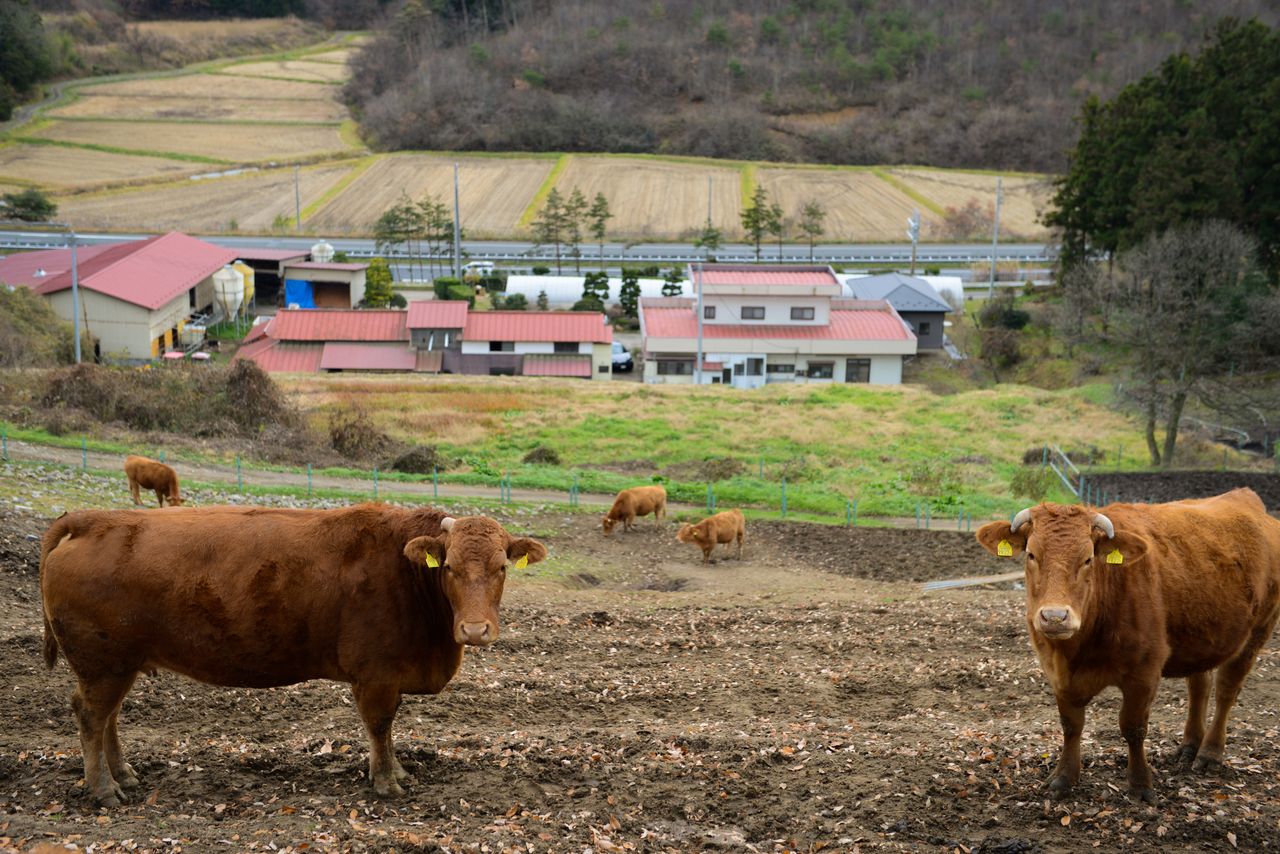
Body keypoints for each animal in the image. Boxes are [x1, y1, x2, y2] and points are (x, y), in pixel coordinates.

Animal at [37, 504, 547, 804]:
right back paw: (103, 788)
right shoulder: (376, 675)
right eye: (452, 568)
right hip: (103, 664)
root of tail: (94, 519)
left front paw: (394, 769)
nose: (475, 629)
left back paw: (123, 775)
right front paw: (387, 780)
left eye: (502, 567)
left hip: (117, 665)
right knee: (91, 716)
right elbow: (380, 727)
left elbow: (386, 732)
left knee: (109, 718)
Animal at [977, 491, 1280, 804]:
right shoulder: (1057, 673)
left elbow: (1133, 728)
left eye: (1087, 559)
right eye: (1031, 555)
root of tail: (1244, 498)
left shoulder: (1144, 674)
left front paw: (1140, 784)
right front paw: (1063, 777)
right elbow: (1071, 725)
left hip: (1258, 630)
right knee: (1200, 687)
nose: (1055, 616)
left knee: (1226, 692)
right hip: (1203, 637)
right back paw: (1189, 746)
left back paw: (1209, 754)